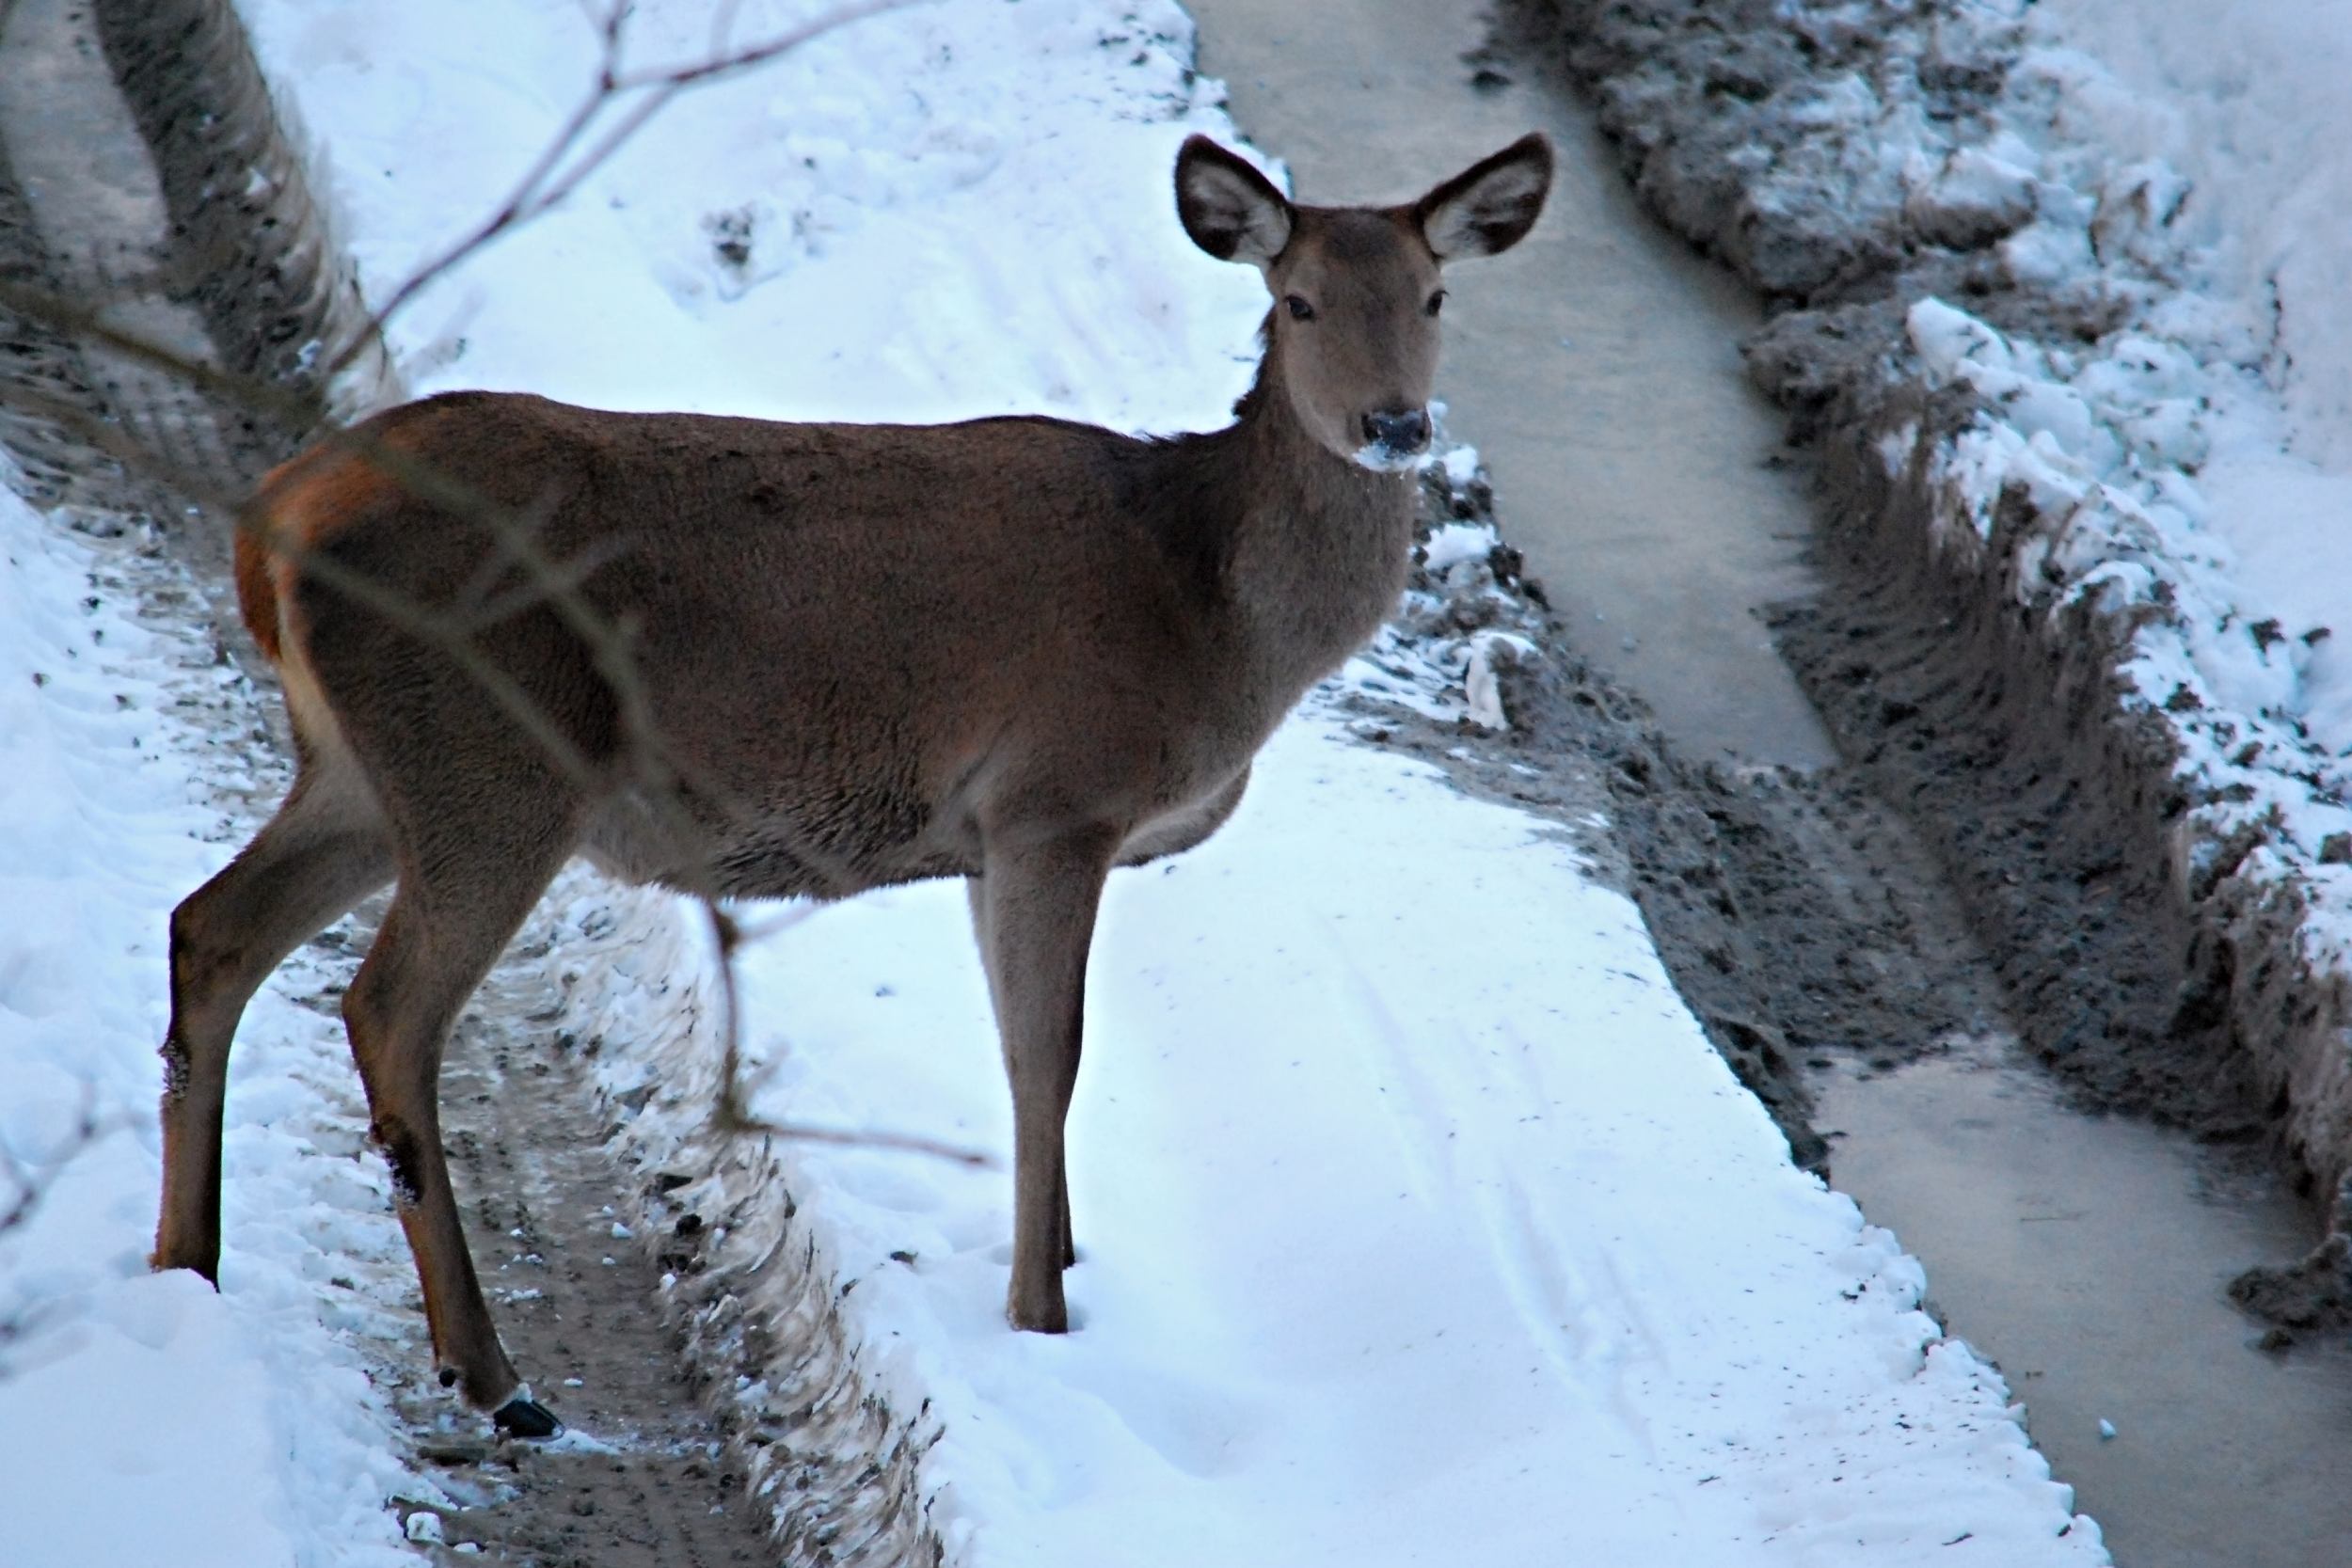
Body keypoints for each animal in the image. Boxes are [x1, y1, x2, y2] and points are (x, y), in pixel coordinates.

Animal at [147, 131, 1543, 1438]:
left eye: (1432, 296)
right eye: (1295, 299)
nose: (1397, 425)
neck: (1208, 612)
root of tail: (274, 521)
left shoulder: (989, 833)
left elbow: (1023, 1045)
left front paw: (1064, 1258)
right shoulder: (1057, 795)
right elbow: (1048, 1054)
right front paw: (1040, 1312)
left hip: (362, 769)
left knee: (211, 926)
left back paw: (185, 1266)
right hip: (491, 764)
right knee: (386, 1007)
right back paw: (491, 1371)